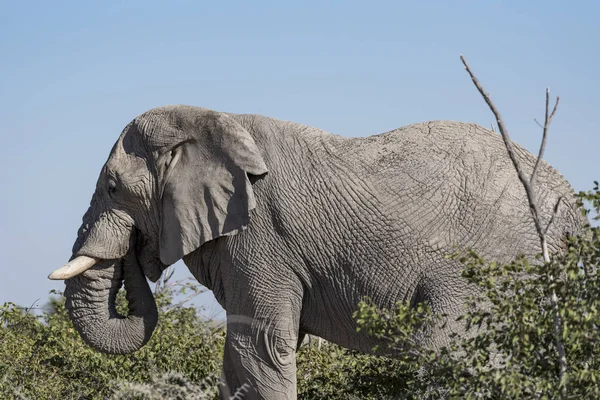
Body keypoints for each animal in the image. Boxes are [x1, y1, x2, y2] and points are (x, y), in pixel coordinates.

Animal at [49, 104, 584, 398]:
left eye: (114, 188)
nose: (135, 250)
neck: (210, 120)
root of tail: (570, 204)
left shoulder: (259, 239)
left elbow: (258, 346)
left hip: (491, 267)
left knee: (448, 351)